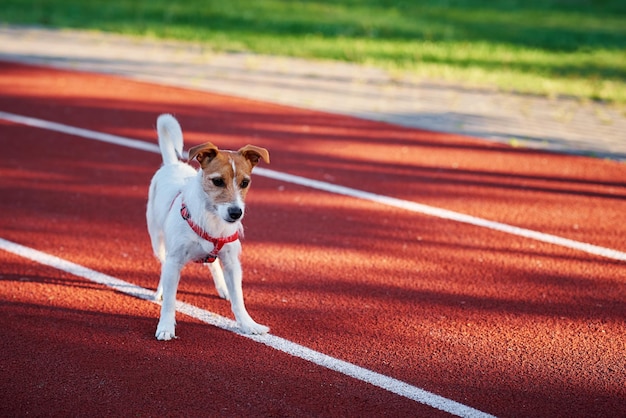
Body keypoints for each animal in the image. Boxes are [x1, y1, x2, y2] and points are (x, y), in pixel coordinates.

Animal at [146, 113, 268, 340]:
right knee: (163, 264)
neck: (212, 218)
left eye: (245, 183)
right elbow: (170, 301)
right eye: (218, 181)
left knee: (212, 264)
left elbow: (239, 299)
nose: (236, 213)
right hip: (157, 239)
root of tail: (172, 164)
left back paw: (222, 287)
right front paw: (165, 326)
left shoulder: (232, 263)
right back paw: (159, 291)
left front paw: (248, 324)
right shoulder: (174, 262)